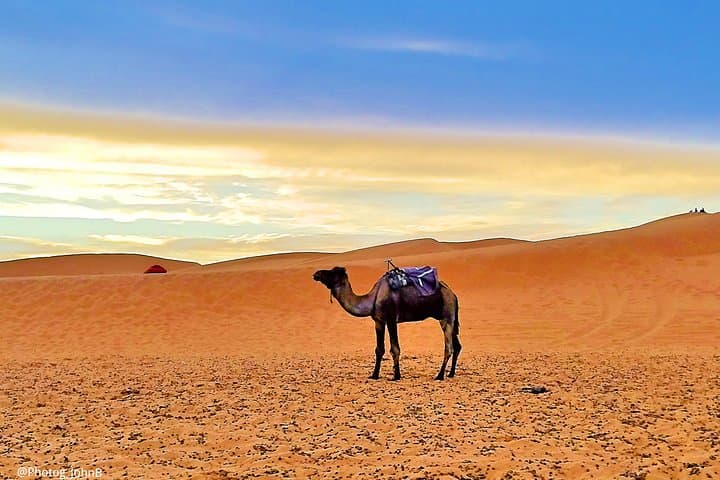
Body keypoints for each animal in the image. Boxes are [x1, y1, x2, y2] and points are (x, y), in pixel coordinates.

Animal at [313, 266, 461, 380]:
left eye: (331, 273)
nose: (316, 274)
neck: (373, 298)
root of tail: (453, 294)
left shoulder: (391, 319)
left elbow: (395, 349)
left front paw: (396, 376)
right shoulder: (379, 321)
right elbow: (379, 349)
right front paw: (374, 375)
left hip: (446, 317)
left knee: (449, 347)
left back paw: (440, 376)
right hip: (450, 318)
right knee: (457, 346)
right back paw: (451, 374)